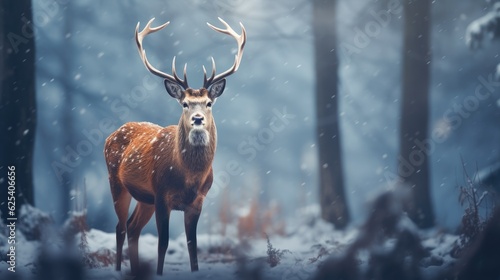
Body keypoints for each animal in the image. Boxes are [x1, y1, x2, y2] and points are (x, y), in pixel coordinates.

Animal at [104, 18, 245, 276]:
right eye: (185, 103)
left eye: (209, 103)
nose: (198, 119)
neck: (189, 177)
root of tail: (111, 134)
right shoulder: (162, 195)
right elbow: (163, 243)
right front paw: (159, 273)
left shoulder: (197, 202)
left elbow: (192, 245)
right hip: (116, 182)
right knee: (120, 227)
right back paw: (119, 270)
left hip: (145, 198)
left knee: (132, 227)